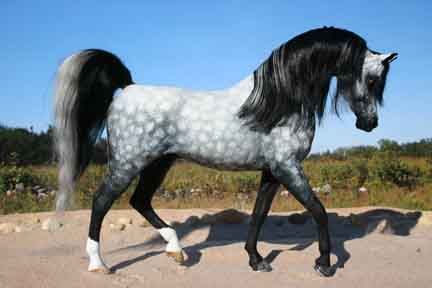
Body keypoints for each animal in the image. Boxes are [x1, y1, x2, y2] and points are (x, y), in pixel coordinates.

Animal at [54, 27, 398, 276]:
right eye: (371, 80)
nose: (370, 124)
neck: (277, 101)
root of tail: (126, 88)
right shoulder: (287, 167)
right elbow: (318, 210)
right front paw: (324, 264)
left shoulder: (272, 171)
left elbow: (259, 214)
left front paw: (256, 260)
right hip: (128, 162)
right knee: (101, 202)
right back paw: (99, 264)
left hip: (158, 164)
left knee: (140, 201)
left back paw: (177, 251)